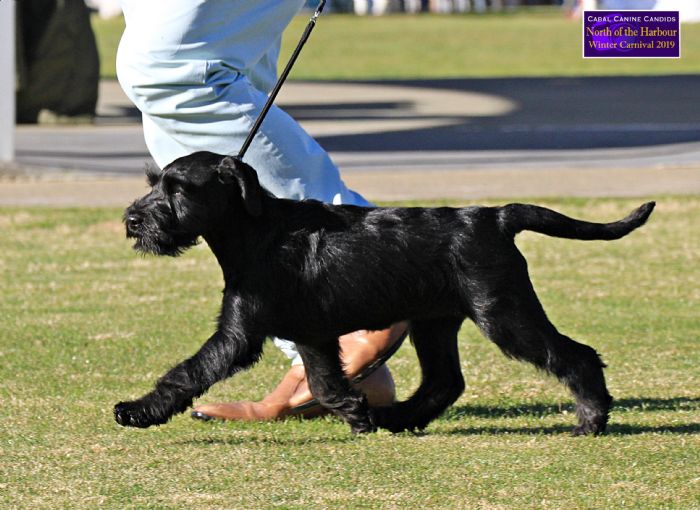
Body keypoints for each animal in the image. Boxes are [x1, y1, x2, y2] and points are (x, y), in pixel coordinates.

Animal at [114, 151, 655, 435]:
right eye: (155, 182)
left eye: (179, 189)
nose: (132, 220)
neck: (255, 230)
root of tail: (497, 217)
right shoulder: (312, 335)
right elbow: (326, 383)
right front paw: (358, 414)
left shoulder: (238, 334)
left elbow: (187, 373)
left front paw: (137, 410)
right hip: (436, 323)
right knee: (444, 382)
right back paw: (397, 417)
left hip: (504, 314)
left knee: (575, 355)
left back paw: (591, 419)